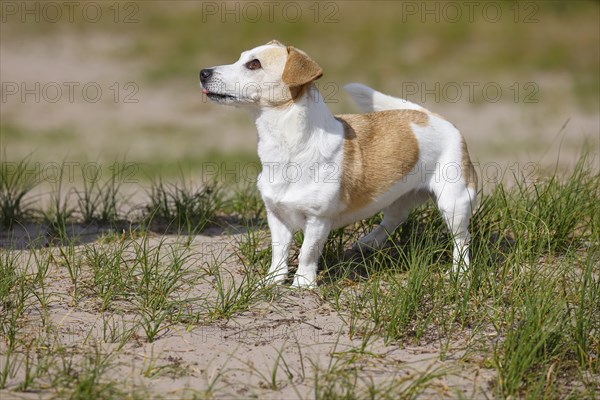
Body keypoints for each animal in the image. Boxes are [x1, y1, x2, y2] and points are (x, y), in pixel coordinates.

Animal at [199, 40, 476, 288]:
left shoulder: (317, 220)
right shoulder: (276, 216)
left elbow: (307, 252)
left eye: (254, 64)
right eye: (240, 58)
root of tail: (430, 115)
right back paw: (368, 243)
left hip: (454, 202)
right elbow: (279, 253)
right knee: (393, 219)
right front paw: (272, 281)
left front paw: (302, 284)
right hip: (397, 195)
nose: (203, 72)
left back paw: (460, 274)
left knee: (462, 240)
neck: (287, 147)